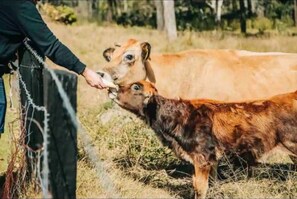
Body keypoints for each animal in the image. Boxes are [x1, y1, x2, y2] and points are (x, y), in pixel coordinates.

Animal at [110, 81, 296, 199]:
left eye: (136, 86)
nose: (112, 89)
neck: (181, 117)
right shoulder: (212, 160)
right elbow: (211, 183)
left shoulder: (202, 158)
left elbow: (200, 187)